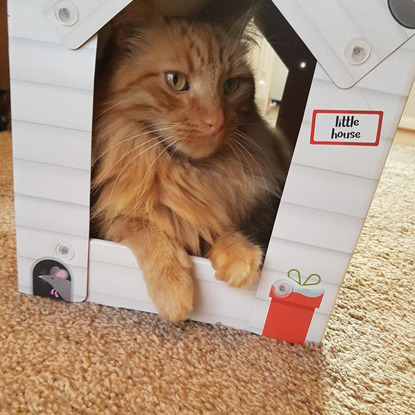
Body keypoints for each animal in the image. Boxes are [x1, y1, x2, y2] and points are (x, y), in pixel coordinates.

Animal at [92, 0, 290, 324]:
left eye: (230, 86)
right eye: (176, 81)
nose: (216, 122)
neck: (187, 172)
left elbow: (221, 225)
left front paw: (237, 254)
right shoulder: (107, 216)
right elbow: (145, 230)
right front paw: (173, 290)